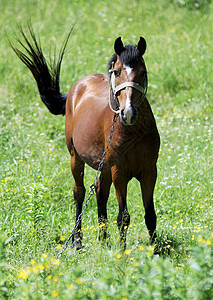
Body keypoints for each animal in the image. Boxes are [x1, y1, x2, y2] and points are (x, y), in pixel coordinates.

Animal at [10, 25, 159, 251]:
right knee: (79, 193)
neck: (134, 131)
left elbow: (150, 215)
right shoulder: (119, 172)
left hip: (103, 166)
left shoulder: (150, 171)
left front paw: (156, 251)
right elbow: (123, 217)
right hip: (76, 157)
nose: (128, 113)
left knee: (99, 193)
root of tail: (78, 86)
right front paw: (123, 253)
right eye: (117, 71)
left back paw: (103, 239)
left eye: (143, 72)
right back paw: (77, 240)